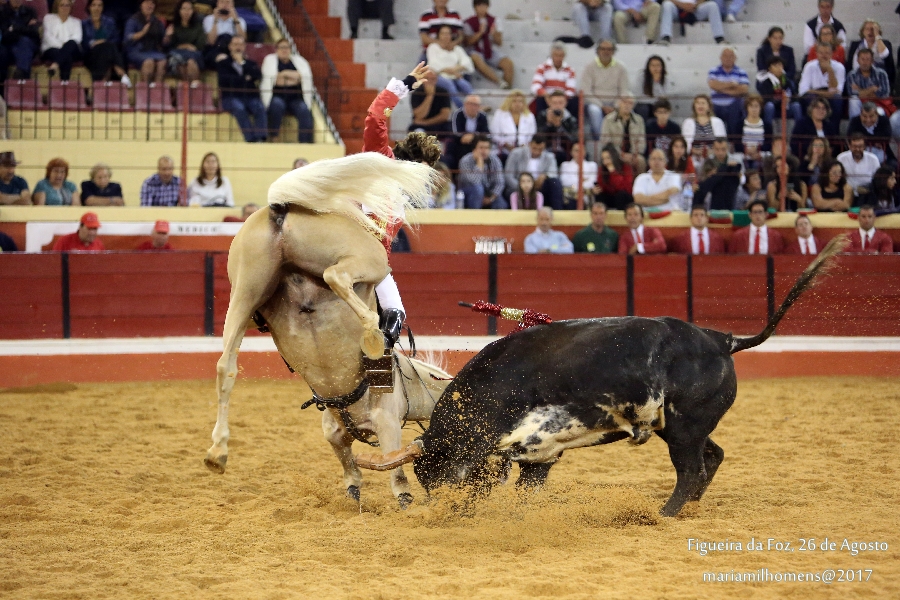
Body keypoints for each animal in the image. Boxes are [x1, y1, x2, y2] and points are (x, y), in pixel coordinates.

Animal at [204, 153, 451, 507]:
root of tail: (280, 208)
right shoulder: (387, 423)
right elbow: (394, 469)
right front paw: (403, 496)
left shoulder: (339, 431)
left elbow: (352, 469)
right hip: (369, 257)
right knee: (337, 275)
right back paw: (373, 333)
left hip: (245, 292)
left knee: (226, 366)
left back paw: (217, 452)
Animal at [356, 236, 847, 516]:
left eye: (438, 469)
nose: (445, 510)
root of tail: (720, 339)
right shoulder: (538, 454)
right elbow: (526, 488)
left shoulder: (533, 443)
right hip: (682, 426)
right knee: (713, 455)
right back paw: (690, 506)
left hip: (684, 427)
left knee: (690, 467)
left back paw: (666, 512)